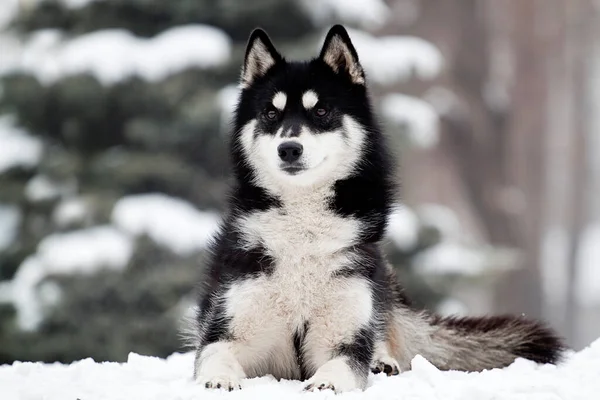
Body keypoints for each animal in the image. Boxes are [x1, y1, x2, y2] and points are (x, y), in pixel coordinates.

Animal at [190, 25, 564, 394]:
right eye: (270, 113)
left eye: (321, 111)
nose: (289, 149)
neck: (304, 228)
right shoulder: (227, 329)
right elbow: (214, 355)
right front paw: (219, 379)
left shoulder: (345, 336)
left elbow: (343, 364)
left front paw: (327, 382)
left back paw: (382, 361)